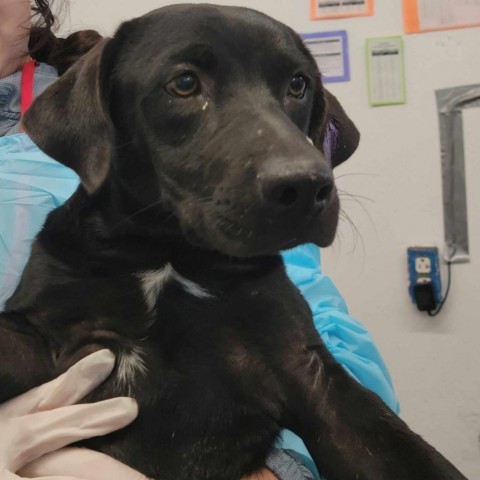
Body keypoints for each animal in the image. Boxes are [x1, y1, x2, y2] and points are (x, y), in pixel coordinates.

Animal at [0, 4, 466, 480]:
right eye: (185, 83)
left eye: (298, 84)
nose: (305, 186)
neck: (169, 253)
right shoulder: (38, 334)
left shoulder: (307, 370)